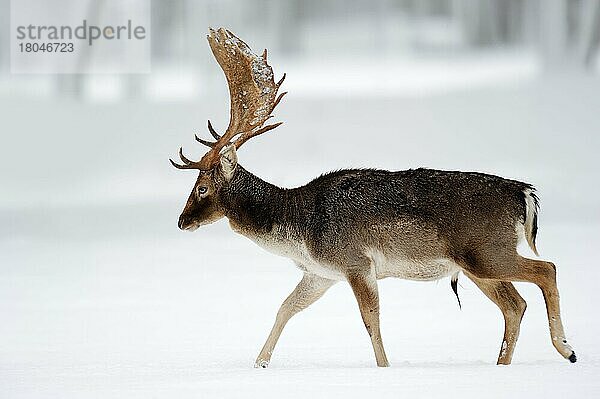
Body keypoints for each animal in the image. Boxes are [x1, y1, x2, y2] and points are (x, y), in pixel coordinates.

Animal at [170, 28, 576, 368]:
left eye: (201, 188)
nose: (181, 221)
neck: (298, 230)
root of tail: (524, 193)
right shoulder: (321, 273)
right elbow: (285, 308)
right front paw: (259, 364)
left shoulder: (355, 262)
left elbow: (370, 320)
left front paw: (384, 368)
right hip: (477, 264)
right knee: (515, 305)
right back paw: (504, 364)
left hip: (485, 251)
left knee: (547, 270)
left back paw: (566, 348)